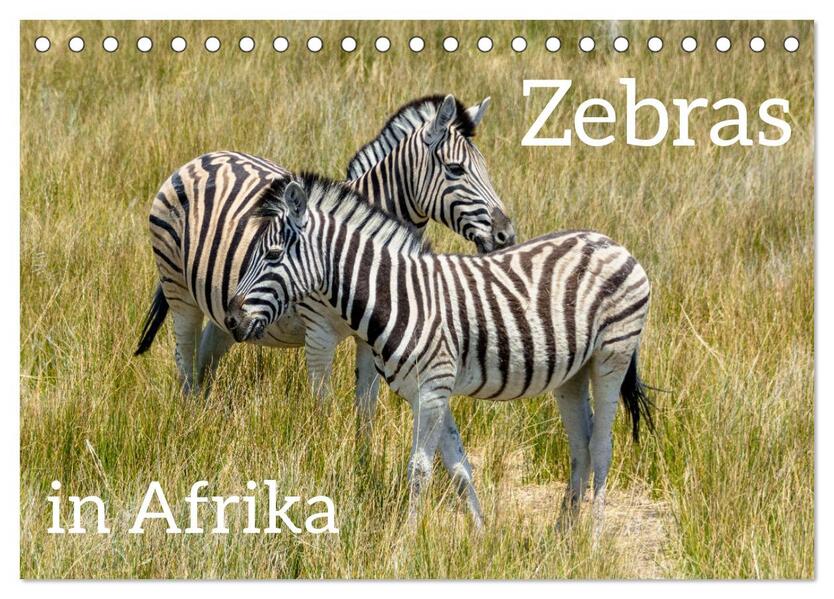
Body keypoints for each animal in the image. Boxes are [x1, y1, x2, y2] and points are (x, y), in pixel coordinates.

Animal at [134, 94, 515, 420]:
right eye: (455, 169)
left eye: (485, 167)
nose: (506, 236)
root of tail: (198, 159)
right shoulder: (318, 334)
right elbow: (323, 411)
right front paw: (322, 456)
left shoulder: (370, 338)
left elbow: (366, 411)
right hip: (178, 290)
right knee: (185, 360)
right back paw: (188, 424)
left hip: (223, 310)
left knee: (203, 363)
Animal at [225, 174, 654, 532]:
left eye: (274, 255)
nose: (231, 319)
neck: (398, 296)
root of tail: (613, 243)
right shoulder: (427, 392)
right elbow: (458, 466)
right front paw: (481, 535)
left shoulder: (433, 388)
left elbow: (420, 469)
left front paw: (407, 540)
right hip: (571, 373)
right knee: (580, 445)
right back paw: (563, 535)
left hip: (612, 355)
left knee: (601, 446)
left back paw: (592, 538)